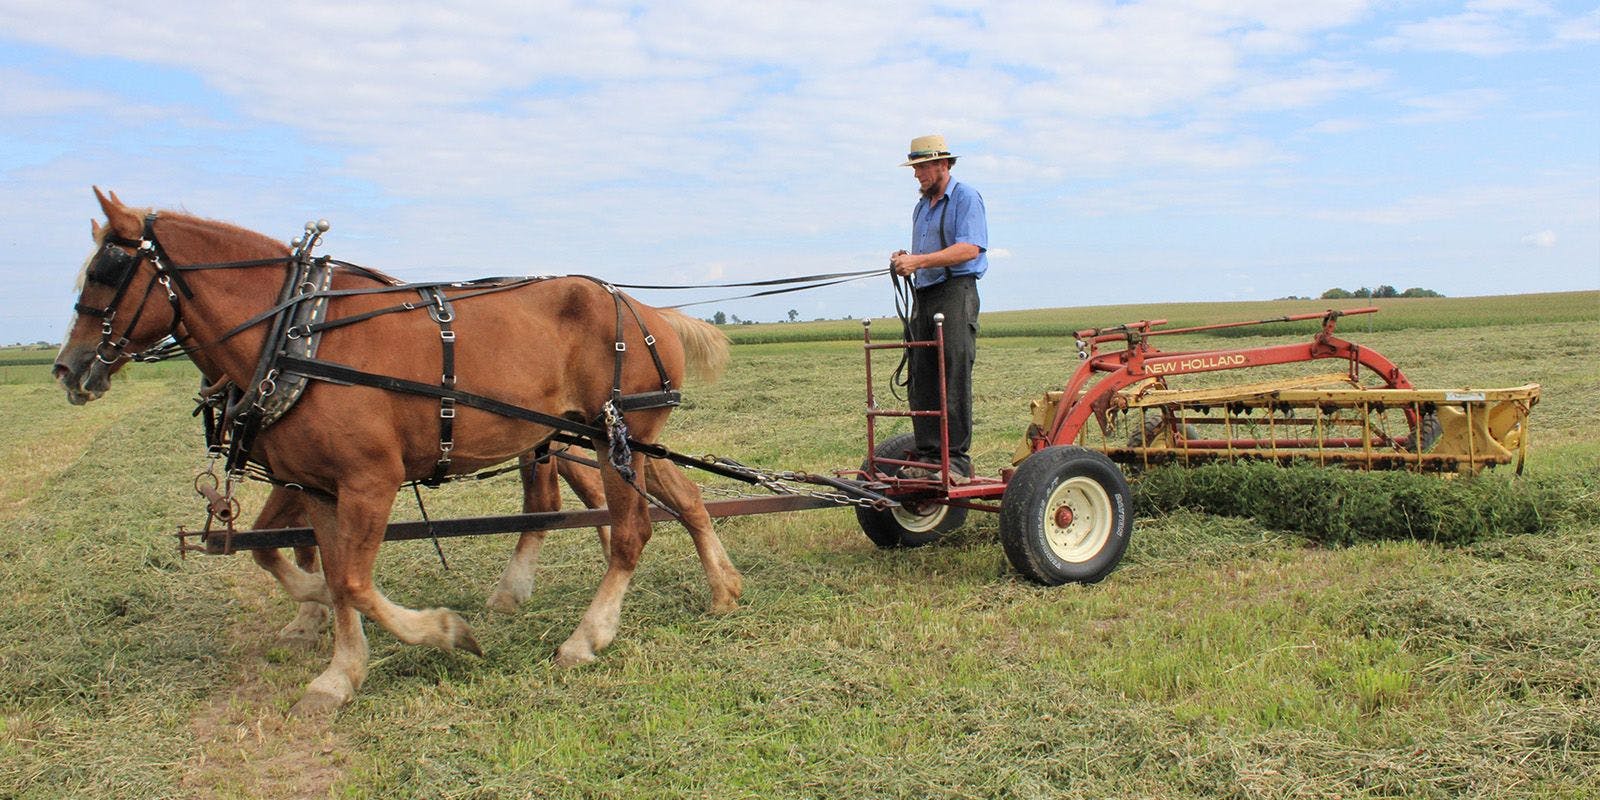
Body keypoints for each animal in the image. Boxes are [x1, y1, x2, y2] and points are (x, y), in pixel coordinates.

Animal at [56, 188, 742, 720]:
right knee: (684, 499)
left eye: (107, 271)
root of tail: (647, 307)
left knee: (630, 530)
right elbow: (328, 575)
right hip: (623, 439)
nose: (69, 367)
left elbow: (354, 581)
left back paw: (586, 636)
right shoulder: (317, 486)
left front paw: (444, 631)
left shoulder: (370, 481)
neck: (295, 337)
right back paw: (722, 588)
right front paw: (337, 672)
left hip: (609, 438)